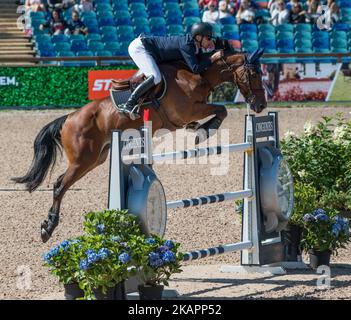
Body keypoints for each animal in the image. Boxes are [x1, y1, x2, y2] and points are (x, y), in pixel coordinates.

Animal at [12, 48, 268, 242]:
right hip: (82, 159)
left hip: (96, 159)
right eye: (254, 75)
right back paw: (48, 227)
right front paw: (205, 131)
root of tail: (68, 118)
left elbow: (216, 111)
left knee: (61, 182)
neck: (197, 75)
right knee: (59, 185)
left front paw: (199, 129)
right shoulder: (186, 110)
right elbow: (221, 110)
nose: (261, 106)